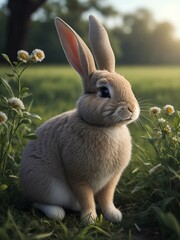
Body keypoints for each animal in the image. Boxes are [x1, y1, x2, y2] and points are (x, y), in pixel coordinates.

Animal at [20, 15, 141, 225]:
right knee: (38, 201)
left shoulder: (111, 180)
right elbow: (86, 198)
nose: (132, 109)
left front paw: (113, 215)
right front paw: (90, 219)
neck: (107, 128)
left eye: (128, 85)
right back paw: (56, 212)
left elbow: (107, 197)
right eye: (104, 92)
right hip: (46, 185)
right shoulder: (79, 178)